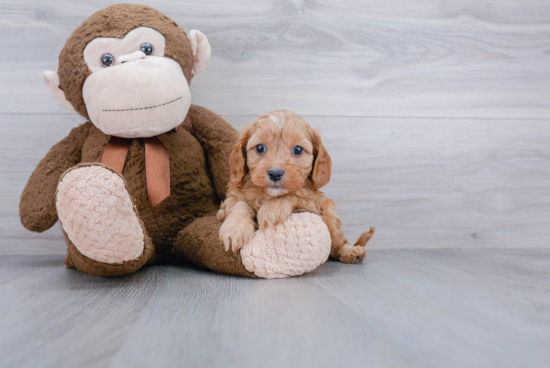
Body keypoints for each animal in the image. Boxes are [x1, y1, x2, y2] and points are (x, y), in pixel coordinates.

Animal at [218, 109, 378, 264]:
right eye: (260, 148)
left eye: (298, 150)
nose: (275, 173)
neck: (268, 195)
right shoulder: (230, 200)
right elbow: (240, 204)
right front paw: (235, 228)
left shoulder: (313, 202)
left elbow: (296, 194)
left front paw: (271, 209)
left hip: (330, 217)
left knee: (337, 244)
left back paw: (351, 251)